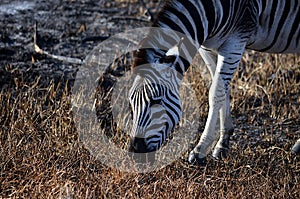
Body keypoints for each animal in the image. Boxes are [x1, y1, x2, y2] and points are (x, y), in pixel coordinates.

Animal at [127, 0, 300, 165]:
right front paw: (222, 144)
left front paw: (200, 150)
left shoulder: (236, 41)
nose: (136, 154)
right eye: (131, 104)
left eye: (155, 101)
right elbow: (223, 88)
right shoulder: (208, 47)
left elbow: (215, 93)